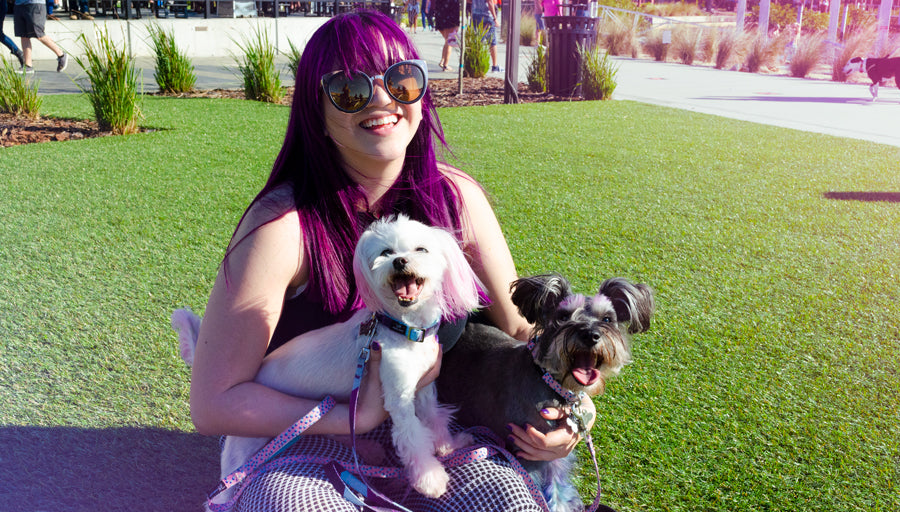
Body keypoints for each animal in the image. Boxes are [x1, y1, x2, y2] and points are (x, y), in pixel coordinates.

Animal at [178, 214, 486, 506]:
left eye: (422, 249)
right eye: (386, 252)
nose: (399, 261)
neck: (405, 328)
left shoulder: (423, 387)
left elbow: (434, 417)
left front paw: (449, 445)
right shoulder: (398, 396)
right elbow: (412, 437)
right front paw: (429, 478)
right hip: (242, 451)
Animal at [438, 274, 652, 510]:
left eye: (607, 319)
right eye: (563, 316)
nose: (590, 334)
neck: (549, 381)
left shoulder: (553, 461)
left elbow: (559, 496)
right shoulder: (531, 458)